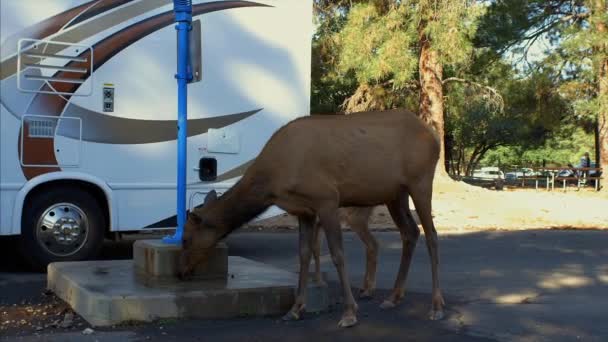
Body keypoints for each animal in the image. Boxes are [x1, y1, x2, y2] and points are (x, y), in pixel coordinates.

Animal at [178, 108, 444, 328]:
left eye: (185, 239)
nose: (181, 272)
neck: (271, 183)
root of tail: (435, 138)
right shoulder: (303, 211)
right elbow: (303, 254)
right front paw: (295, 309)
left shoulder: (327, 200)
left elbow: (337, 255)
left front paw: (349, 313)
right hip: (395, 194)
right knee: (410, 232)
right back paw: (393, 297)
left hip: (420, 182)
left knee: (431, 235)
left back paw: (436, 305)